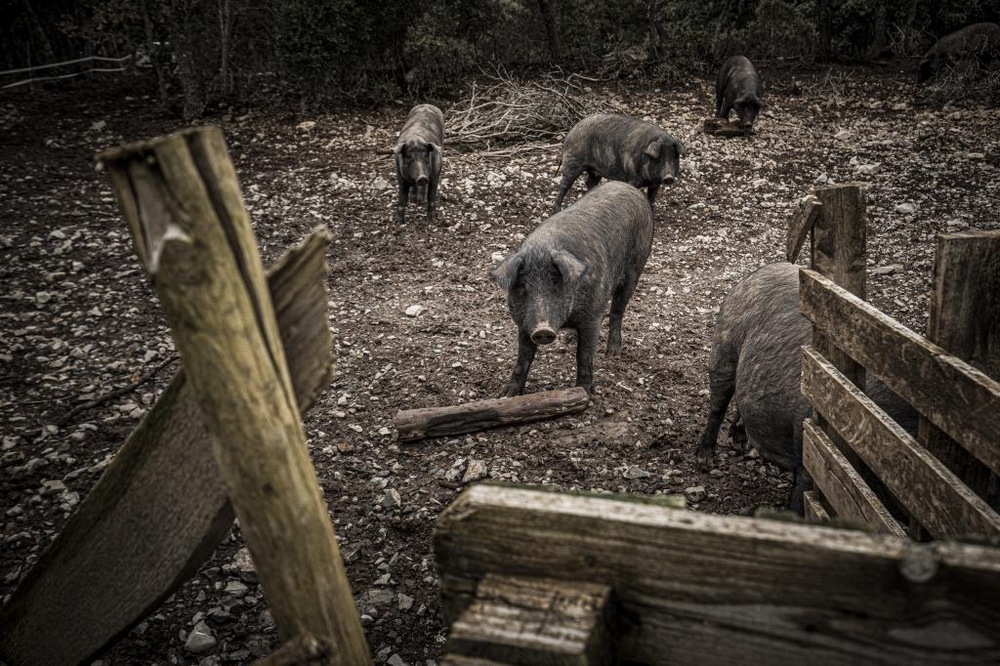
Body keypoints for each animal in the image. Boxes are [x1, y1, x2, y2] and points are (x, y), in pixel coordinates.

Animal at [492, 180, 656, 394]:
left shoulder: (593, 316)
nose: (543, 329)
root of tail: (628, 186)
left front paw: (585, 393)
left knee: (617, 311)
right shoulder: (524, 322)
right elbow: (523, 357)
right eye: (522, 285)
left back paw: (613, 354)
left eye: (556, 282)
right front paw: (506, 394)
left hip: (636, 268)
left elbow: (584, 356)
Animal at [552, 111, 684, 210]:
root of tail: (569, 134)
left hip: (595, 170)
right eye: (659, 159)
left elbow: (651, 199)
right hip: (572, 162)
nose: (668, 177)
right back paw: (558, 208)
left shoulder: (655, 184)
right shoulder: (632, 178)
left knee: (589, 182)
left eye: (674, 157)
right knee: (564, 184)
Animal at [696, 262, 916, 510]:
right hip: (724, 348)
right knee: (717, 405)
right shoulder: (810, 453)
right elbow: (799, 501)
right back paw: (705, 461)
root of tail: (758, 271)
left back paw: (741, 444)